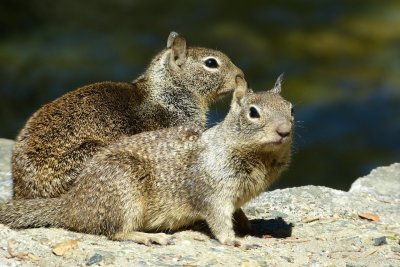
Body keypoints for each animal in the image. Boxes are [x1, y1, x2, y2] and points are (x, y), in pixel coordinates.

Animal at [0, 75, 294, 249]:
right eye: (253, 113)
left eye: (290, 108)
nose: (284, 131)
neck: (258, 157)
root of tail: (71, 204)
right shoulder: (211, 188)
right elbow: (218, 217)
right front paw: (234, 240)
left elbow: (236, 211)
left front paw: (247, 224)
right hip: (124, 190)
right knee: (115, 232)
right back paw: (149, 236)